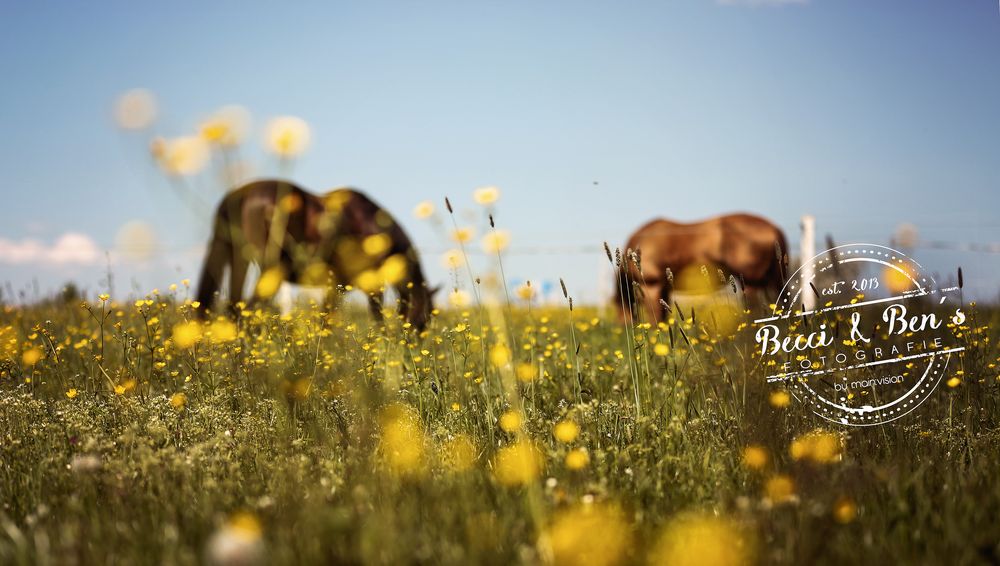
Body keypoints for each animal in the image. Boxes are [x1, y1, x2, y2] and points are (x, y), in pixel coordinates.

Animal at [193, 180, 436, 330]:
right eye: (423, 321)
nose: (412, 351)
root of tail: (239, 194)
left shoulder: (336, 288)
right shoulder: (371, 287)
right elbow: (375, 321)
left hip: (238, 261)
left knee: (234, 311)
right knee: (248, 312)